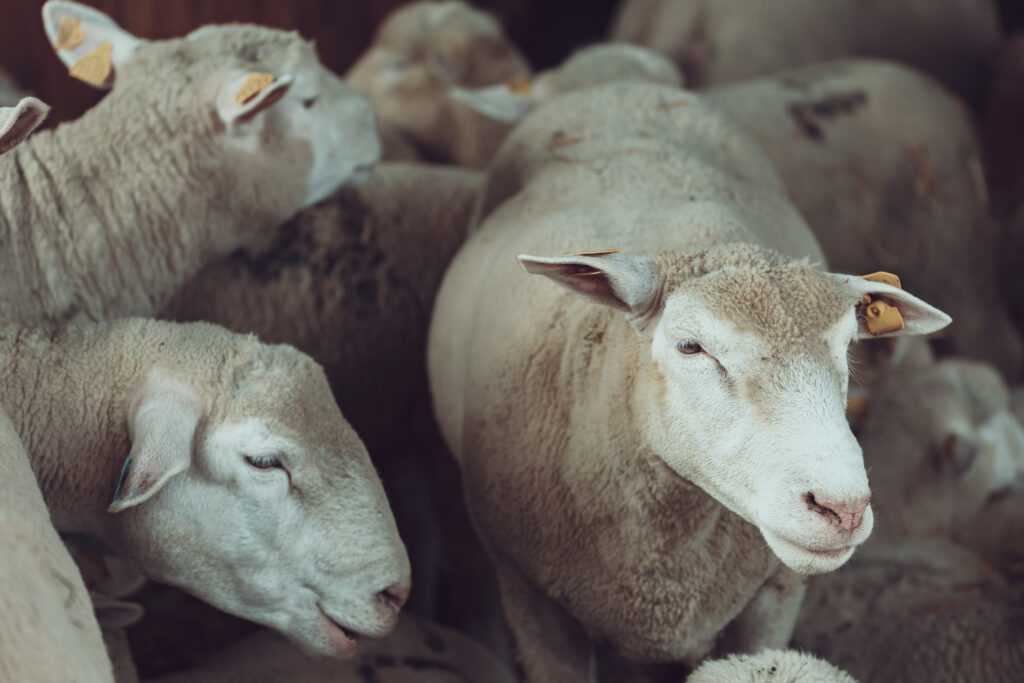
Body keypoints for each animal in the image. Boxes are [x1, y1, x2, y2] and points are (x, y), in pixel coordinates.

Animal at [426, 81, 950, 681]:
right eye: (690, 347)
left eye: (846, 347)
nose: (842, 509)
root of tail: (621, 82)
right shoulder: (529, 595)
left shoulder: (774, 594)